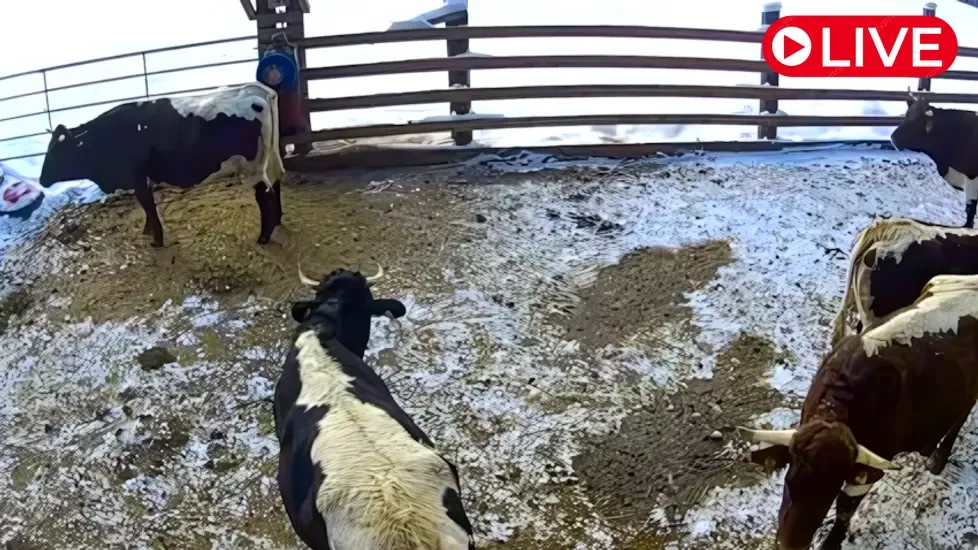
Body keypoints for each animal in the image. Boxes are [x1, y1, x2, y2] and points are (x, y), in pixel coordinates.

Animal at [37, 83, 286, 248]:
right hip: (271, 159)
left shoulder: (137, 177)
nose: (41, 179)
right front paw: (148, 231)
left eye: (57, 153)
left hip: (254, 167)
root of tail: (257, 91)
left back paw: (264, 236)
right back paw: (278, 221)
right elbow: (148, 206)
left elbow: (147, 204)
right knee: (277, 183)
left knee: (265, 195)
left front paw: (156, 239)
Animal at [738, 273, 978, 550]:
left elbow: (846, 509)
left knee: (960, 418)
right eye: (790, 482)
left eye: (828, 494)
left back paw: (937, 460)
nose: (790, 545)